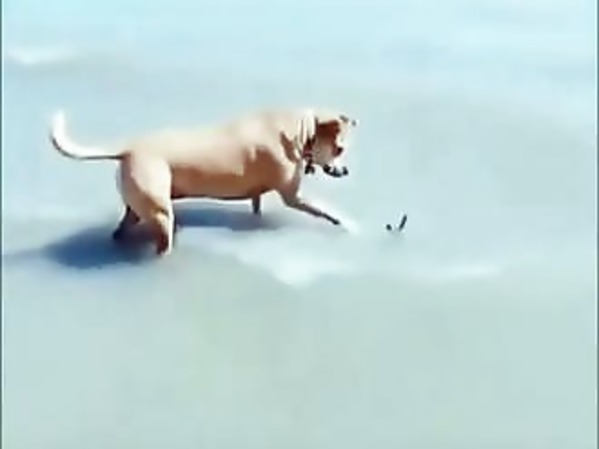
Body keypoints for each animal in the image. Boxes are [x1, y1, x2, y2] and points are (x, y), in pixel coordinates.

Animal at [49, 107, 358, 255]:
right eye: (340, 148)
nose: (345, 172)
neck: (301, 131)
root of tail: (127, 149)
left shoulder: (258, 194)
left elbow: (256, 205)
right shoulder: (293, 197)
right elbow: (325, 210)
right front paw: (348, 223)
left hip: (137, 208)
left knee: (121, 230)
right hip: (161, 213)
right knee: (163, 241)